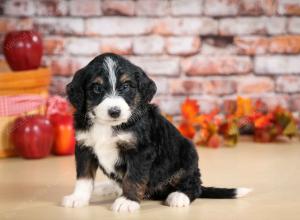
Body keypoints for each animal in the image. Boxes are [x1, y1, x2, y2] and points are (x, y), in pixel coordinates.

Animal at [61, 52, 251, 212]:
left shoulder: (140, 151)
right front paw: (78, 198)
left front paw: (128, 201)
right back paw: (109, 187)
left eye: (126, 87)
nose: (114, 111)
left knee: (194, 185)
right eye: (97, 88)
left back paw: (178, 196)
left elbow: (134, 177)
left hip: (188, 155)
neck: (107, 125)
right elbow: (84, 177)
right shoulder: (84, 147)